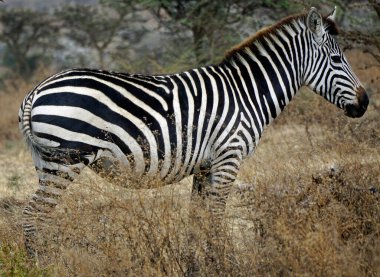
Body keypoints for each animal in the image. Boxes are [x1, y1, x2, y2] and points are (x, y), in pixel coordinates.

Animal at [18, 7, 368, 256]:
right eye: (337, 59)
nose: (365, 103)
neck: (247, 93)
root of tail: (36, 90)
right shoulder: (229, 158)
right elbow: (214, 220)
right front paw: (220, 264)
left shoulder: (205, 165)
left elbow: (196, 223)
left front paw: (195, 265)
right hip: (65, 160)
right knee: (33, 219)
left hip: (45, 162)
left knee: (33, 217)